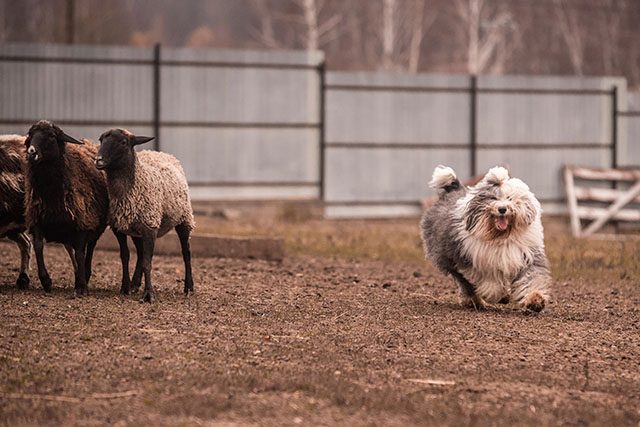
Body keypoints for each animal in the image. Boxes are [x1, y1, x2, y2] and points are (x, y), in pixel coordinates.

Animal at [420, 166, 552, 312]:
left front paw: (535, 299)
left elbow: (531, 278)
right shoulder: (474, 261)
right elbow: (489, 282)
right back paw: (474, 301)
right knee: (464, 283)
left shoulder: (526, 256)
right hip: (449, 258)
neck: (501, 237)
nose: (502, 209)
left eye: (509, 198)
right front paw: (500, 294)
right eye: (493, 198)